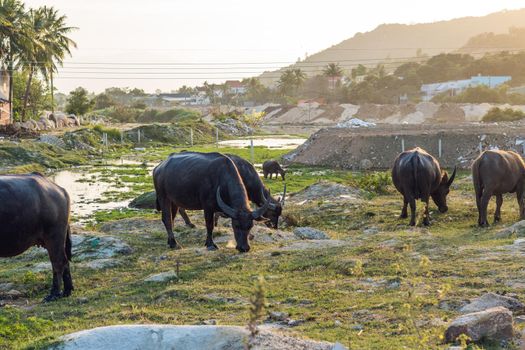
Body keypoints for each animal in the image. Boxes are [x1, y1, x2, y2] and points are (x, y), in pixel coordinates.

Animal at [0, 172, 72, 300]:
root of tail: (59, 189)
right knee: (65, 261)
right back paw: (67, 291)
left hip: (54, 236)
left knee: (58, 262)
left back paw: (54, 294)